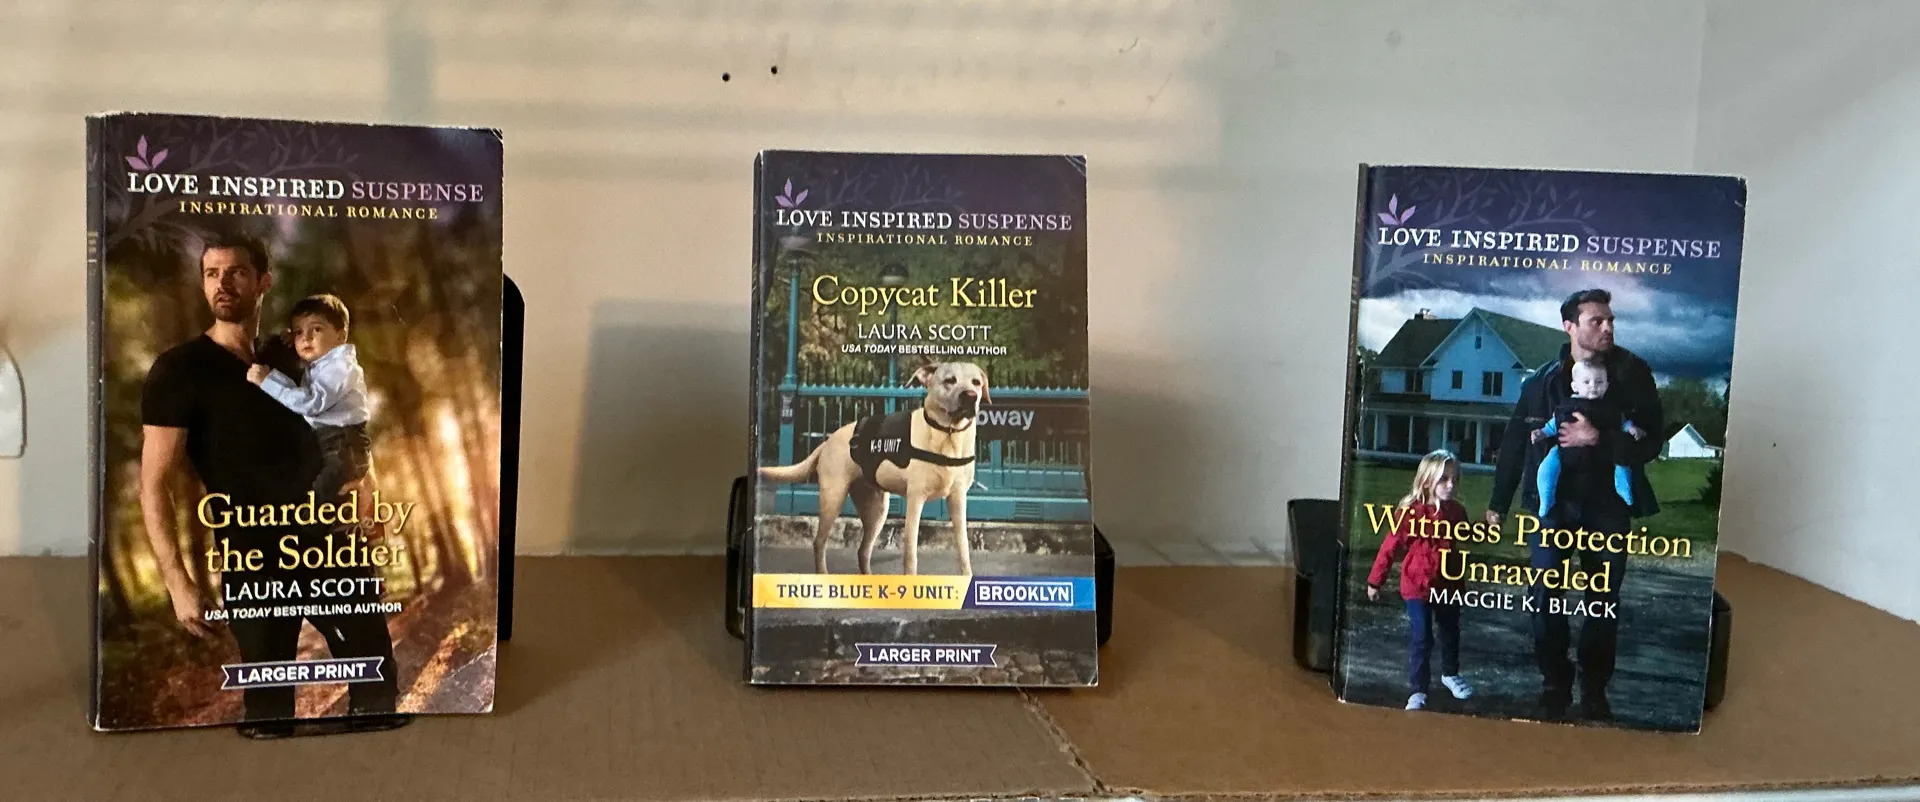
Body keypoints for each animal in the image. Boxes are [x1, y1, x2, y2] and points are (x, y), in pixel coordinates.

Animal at [759, 362, 987, 575]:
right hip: (833, 498)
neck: (947, 435)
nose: (971, 396)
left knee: (862, 550)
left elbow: (963, 549)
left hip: (877, 509)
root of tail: (828, 441)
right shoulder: (915, 500)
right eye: (949, 380)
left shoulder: (958, 499)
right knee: (819, 542)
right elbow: (910, 554)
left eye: (976, 382)